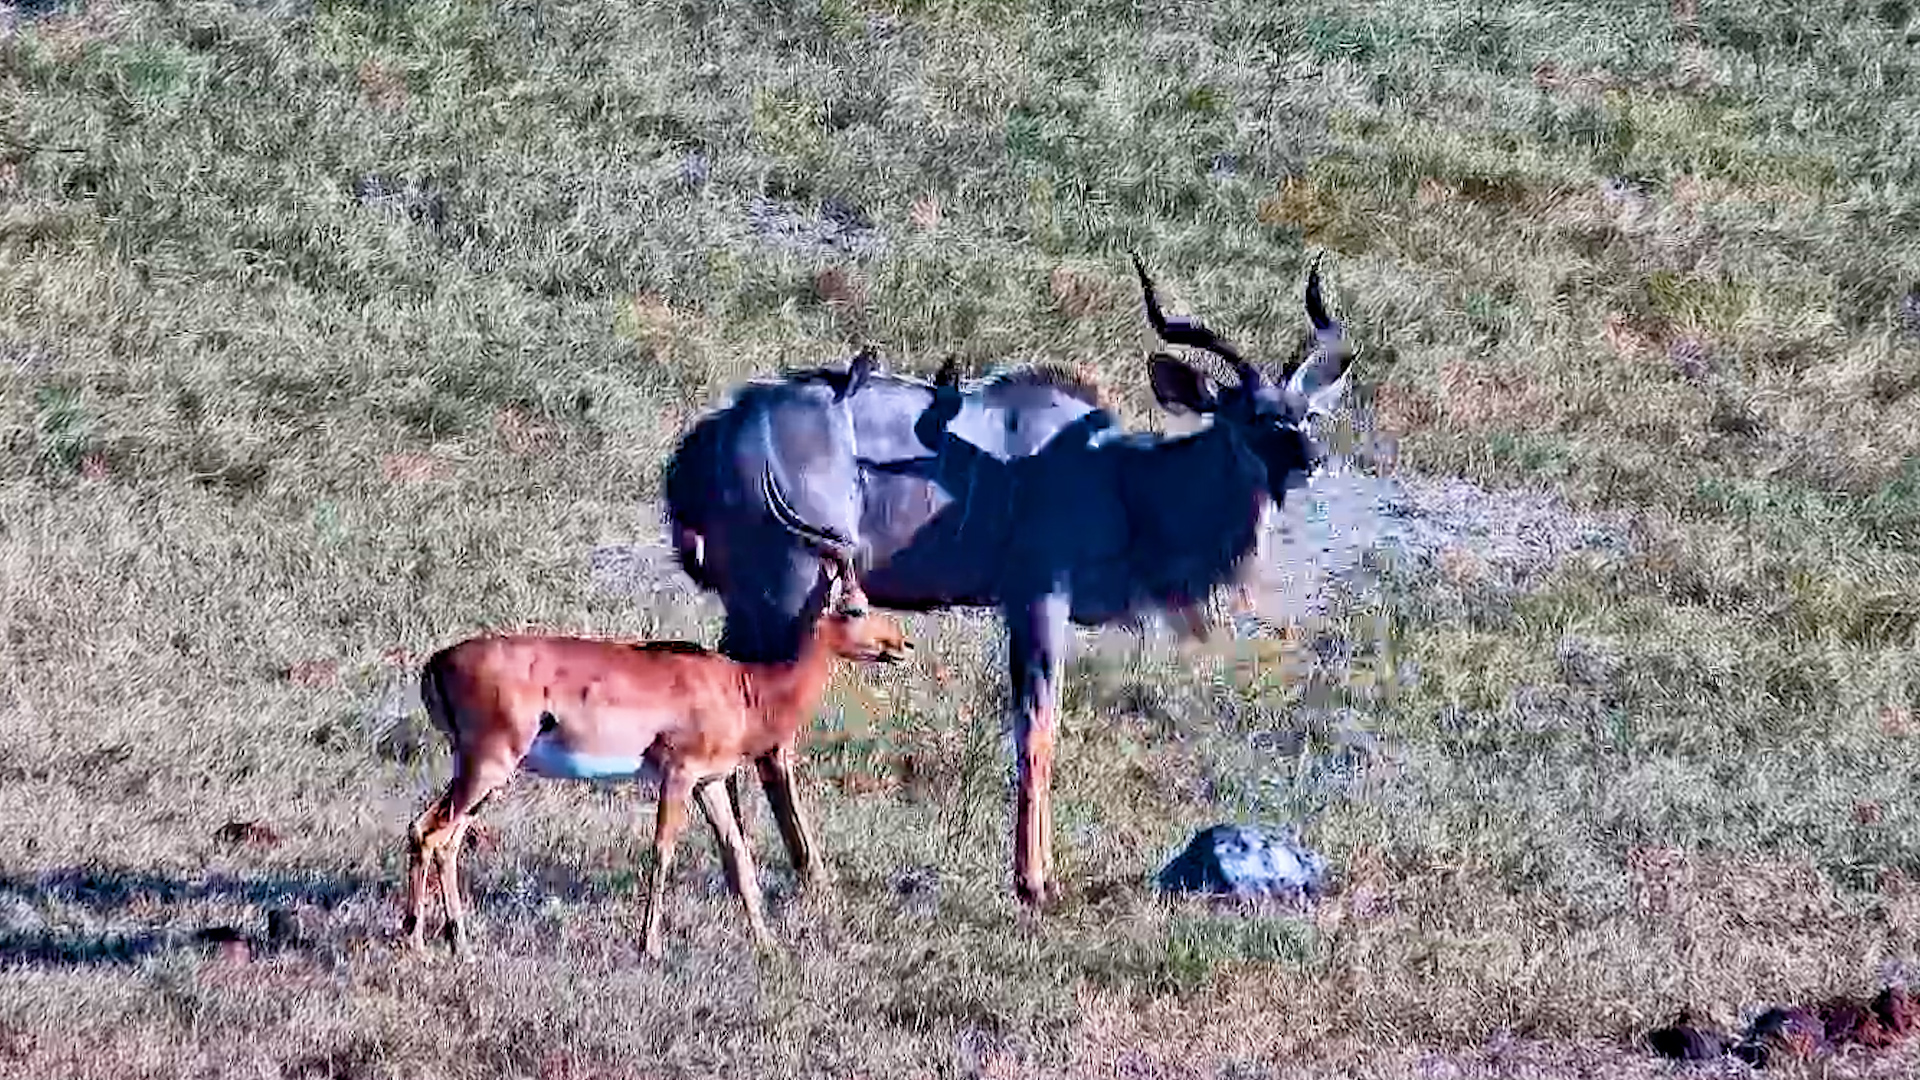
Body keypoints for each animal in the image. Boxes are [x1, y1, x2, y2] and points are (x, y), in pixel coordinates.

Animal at [404, 470, 913, 959]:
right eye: (855, 607)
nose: (902, 644)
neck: (745, 688)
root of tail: (438, 661)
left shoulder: (710, 782)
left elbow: (737, 855)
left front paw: (767, 944)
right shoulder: (678, 774)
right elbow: (663, 851)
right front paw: (649, 945)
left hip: (482, 772)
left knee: (440, 837)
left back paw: (460, 944)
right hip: (488, 765)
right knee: (430, 833)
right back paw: (419, 943)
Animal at [662, 252, 1353, 907]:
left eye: (1308, 415)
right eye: (1255, 418)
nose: (1313, 461)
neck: (1119, 480)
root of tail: (701, 449)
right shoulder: (1037, 597)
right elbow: (1036, 727)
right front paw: (1034, 882)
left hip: (752, 603)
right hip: (790, 589)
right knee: (772, 730)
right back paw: (814, 874)